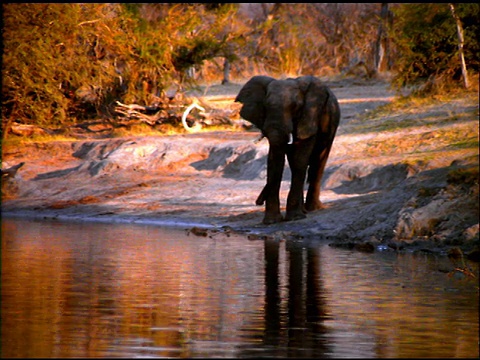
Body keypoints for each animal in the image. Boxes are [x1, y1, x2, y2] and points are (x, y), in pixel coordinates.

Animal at [233, 74, 340, 224]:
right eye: (266, 106)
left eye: (295, 107)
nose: (257, 202)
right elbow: (275, 159)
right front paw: (272, 221)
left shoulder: (310, 116)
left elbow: (300, 157)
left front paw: (294, 218)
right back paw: (304, 210)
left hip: (332, 124)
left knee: (318, 161)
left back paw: (313, 208)